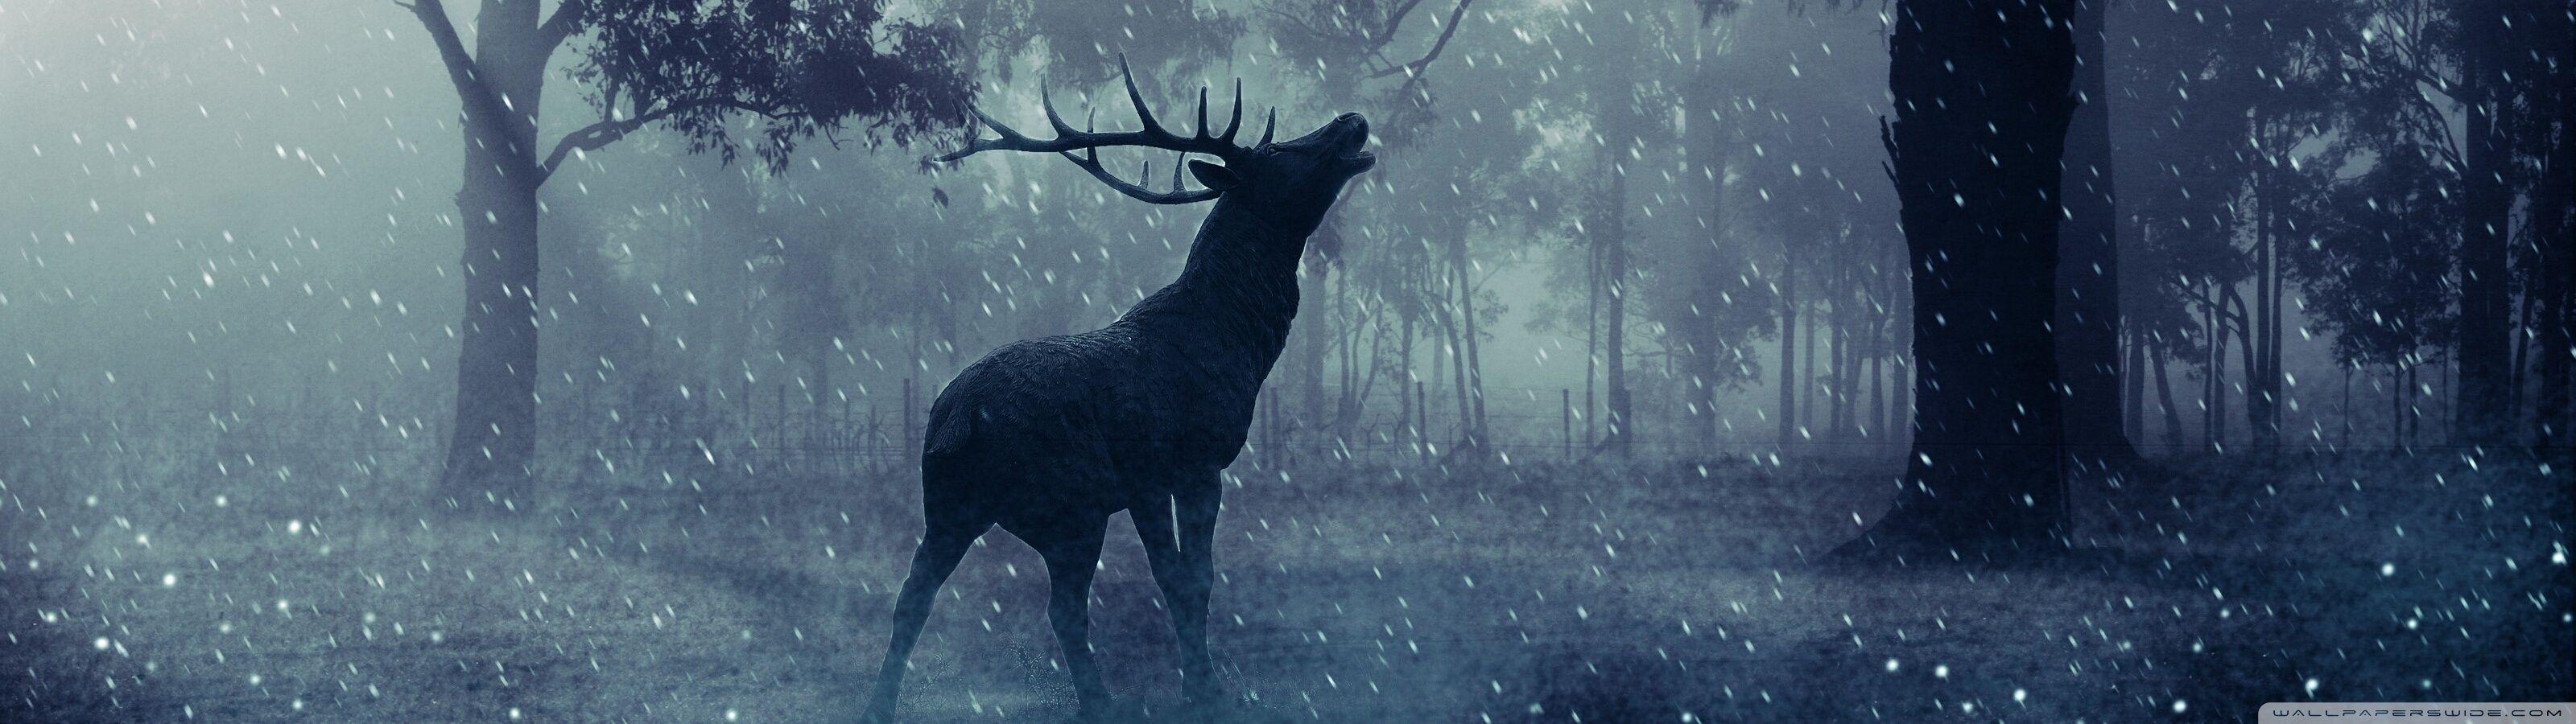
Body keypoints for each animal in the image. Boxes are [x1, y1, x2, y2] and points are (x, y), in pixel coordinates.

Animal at [860, 59, 1374, 723]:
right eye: (1279, 149)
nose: (1352, 119)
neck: (1238, 341)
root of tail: (959, 420)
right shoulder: (1180, 464)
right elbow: (1190, 579)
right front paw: (1206, 691)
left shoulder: (1150, 484)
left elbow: (1183, 578)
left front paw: (1197, 685)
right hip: (1067, 504)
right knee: (1062, 608)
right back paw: (1101, 702)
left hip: (949, 504)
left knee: (915, 598)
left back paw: (881, 706)